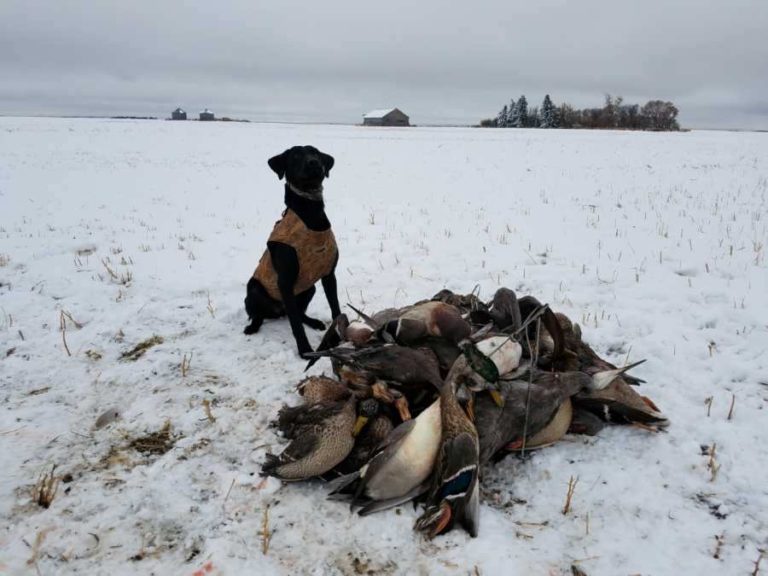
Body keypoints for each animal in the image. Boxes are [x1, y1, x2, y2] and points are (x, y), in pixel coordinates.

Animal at [244, 146, 340, 358]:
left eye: (316, 153)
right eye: (295, 155)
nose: (314, 163)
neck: (311, 215)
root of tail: (278, 311)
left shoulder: (329, 274)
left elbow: (336, 309)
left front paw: (339, 339)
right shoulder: (285, 282)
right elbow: (296, 325)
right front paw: (305, 351)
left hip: (309, 288)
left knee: (298, 312)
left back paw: (314, 322)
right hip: (254, 289)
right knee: (261, 315)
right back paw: (253, 327)